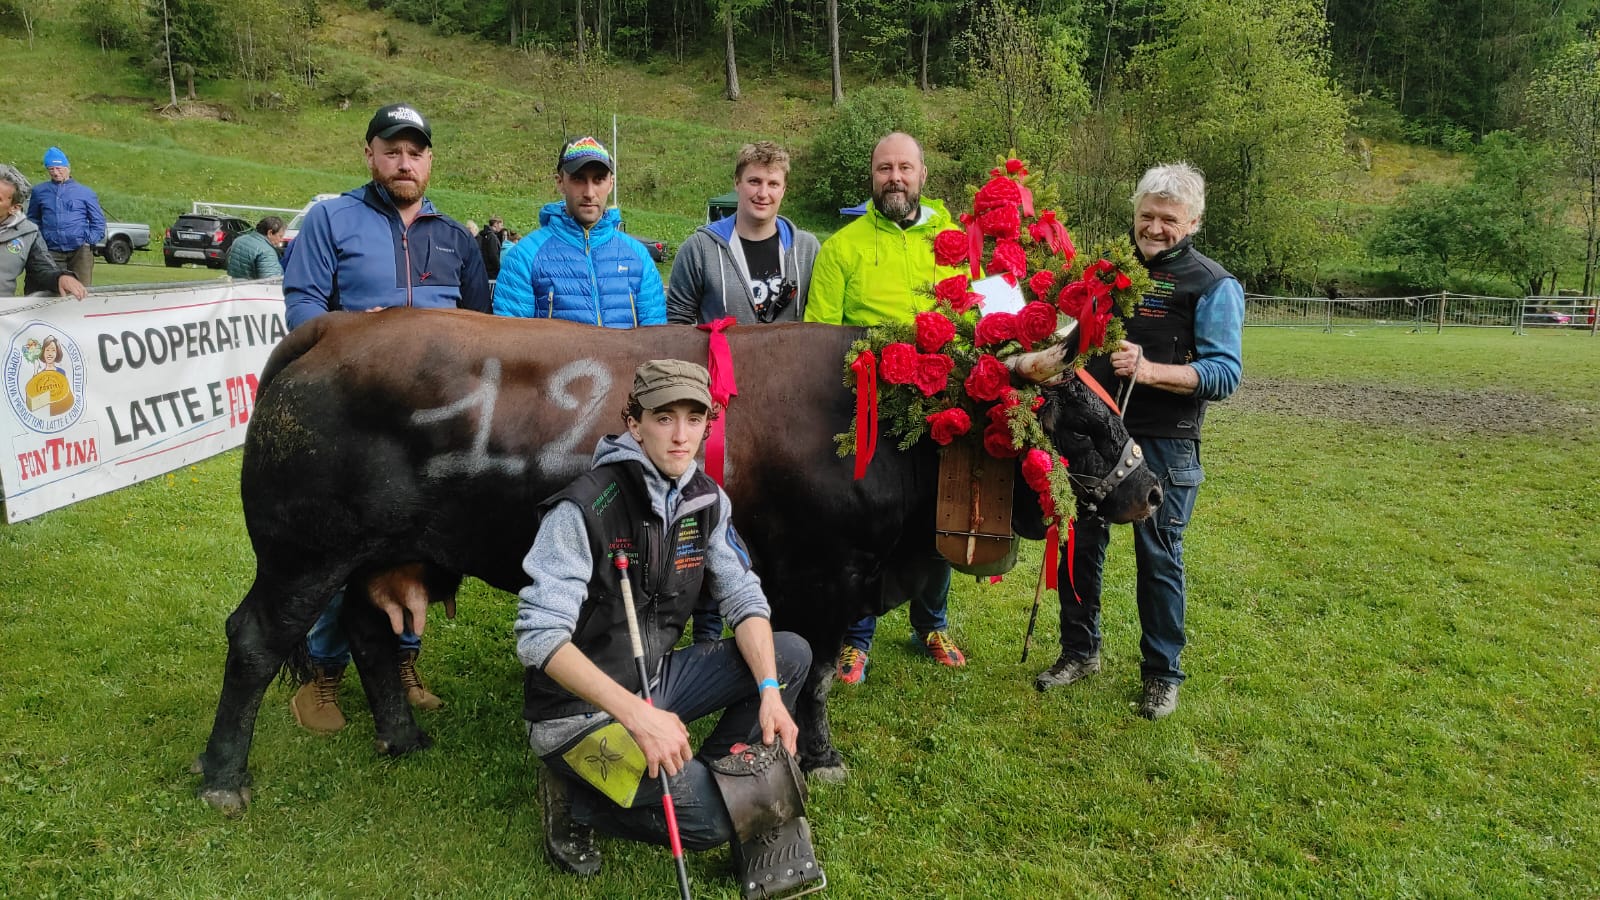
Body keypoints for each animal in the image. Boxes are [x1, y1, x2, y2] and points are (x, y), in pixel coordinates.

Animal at [196, 312, 1164, 810]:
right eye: (1079, 420)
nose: (1149, 492)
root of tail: (334, 327)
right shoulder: (824, 579)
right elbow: (812, 681)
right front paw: (817, 755)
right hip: (301, 555)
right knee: (253, 641)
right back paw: (222, 778)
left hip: (372, 556)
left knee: (367, 632)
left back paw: (401, 735)